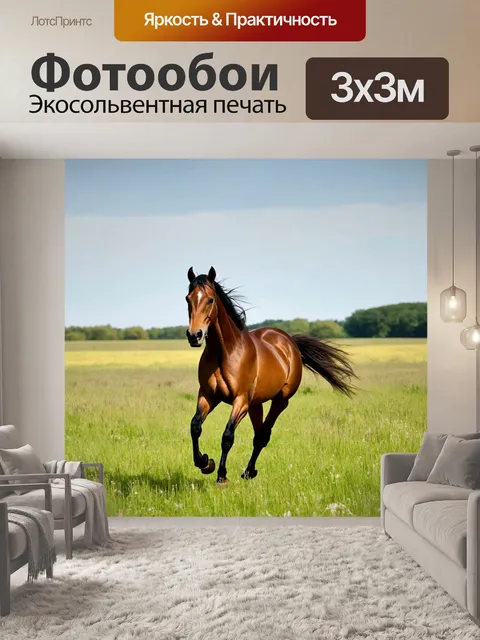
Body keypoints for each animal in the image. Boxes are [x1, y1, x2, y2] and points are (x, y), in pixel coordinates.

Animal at [185, 266, 357, 484]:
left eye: (210, 300)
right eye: (188, 299)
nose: (194, 335)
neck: (225, 353)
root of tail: (289, 341)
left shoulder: (240, 400)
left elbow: (227, 436)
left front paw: (221, 475)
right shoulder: (208, 395)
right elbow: (195, 426)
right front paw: (205, 463)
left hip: (279, 400)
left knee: (263, 435)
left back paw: (248, 472)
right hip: (255, 404)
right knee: (258, 434)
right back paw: (249, 471)